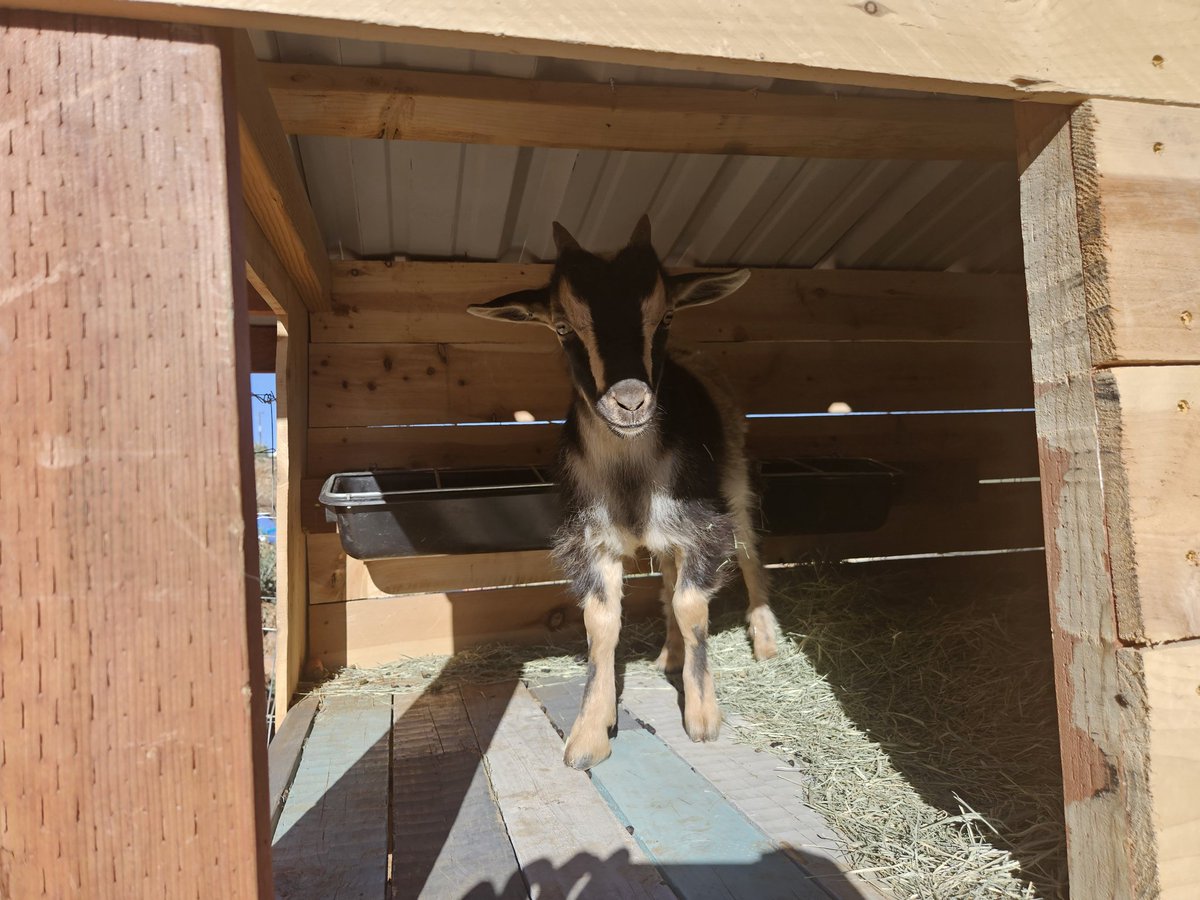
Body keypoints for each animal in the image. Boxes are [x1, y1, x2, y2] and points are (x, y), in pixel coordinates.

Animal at [468, 217, 778, 769]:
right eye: (562, 326)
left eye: (667, 314)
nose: (630, 401)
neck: (630, 470)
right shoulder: (592, 540)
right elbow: (602, 622)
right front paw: (589, 734)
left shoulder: (702, 523)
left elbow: (692, 606)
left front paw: (703, 717)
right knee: (669, 575)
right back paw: (669, 656)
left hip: (734, 479)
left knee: (747, 552)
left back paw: (764, 642)